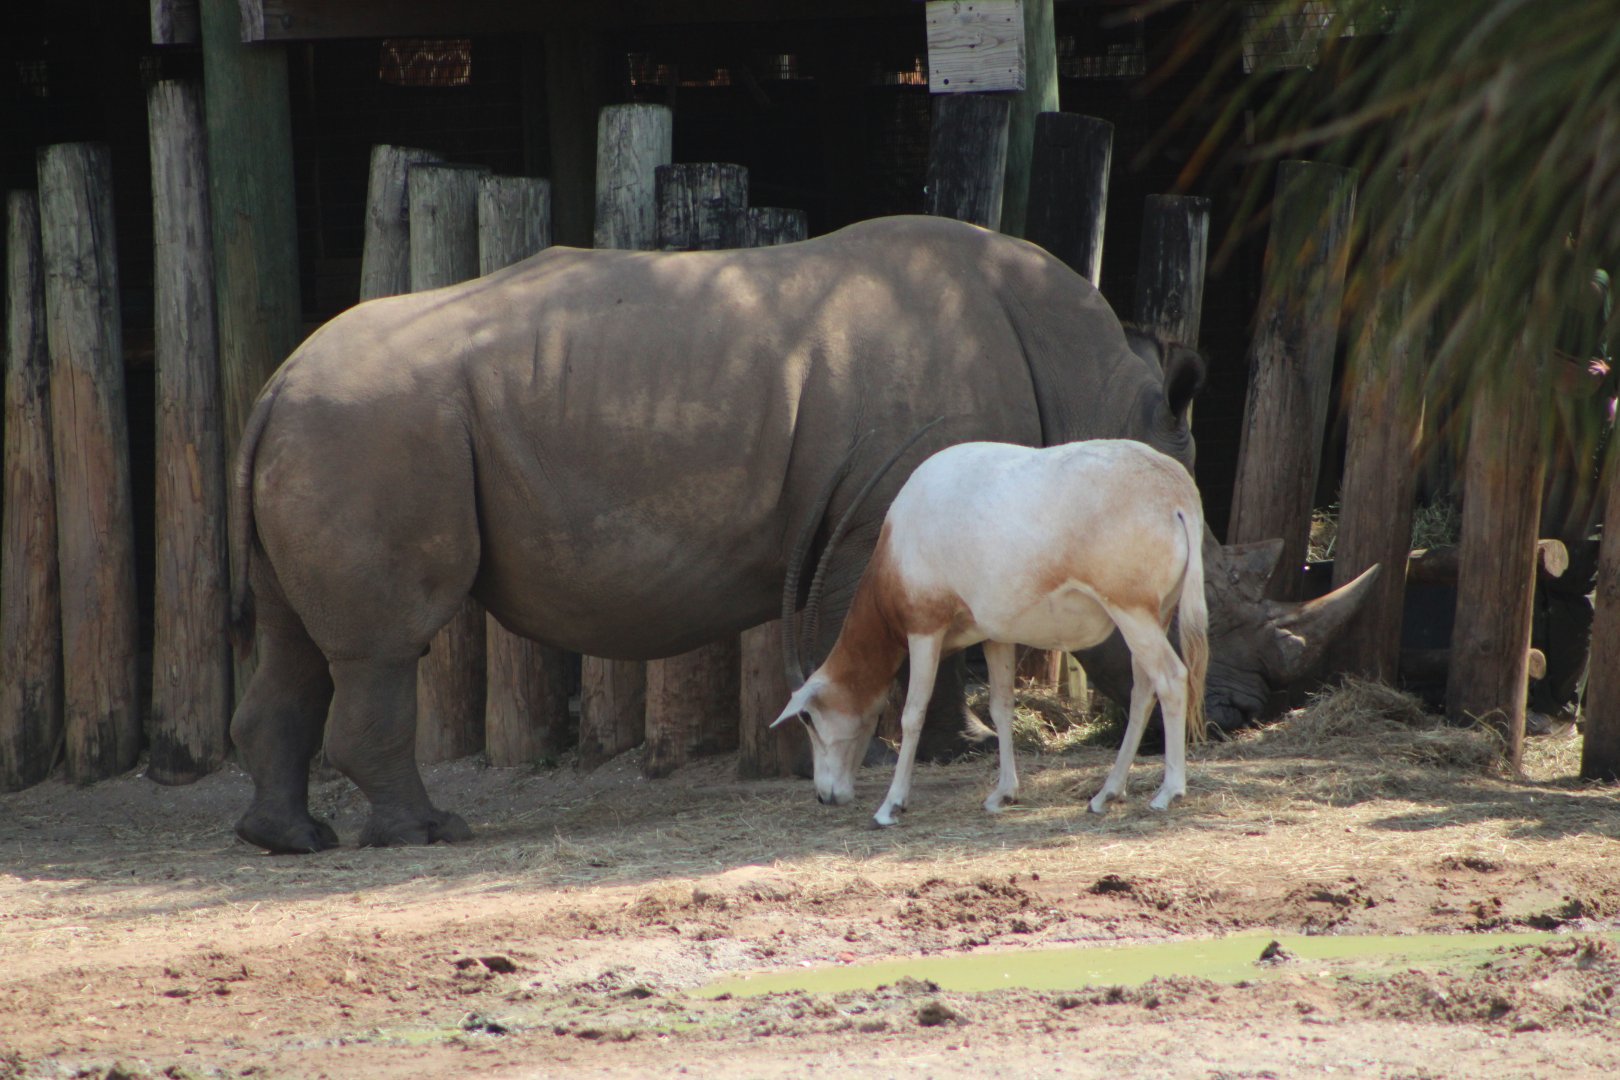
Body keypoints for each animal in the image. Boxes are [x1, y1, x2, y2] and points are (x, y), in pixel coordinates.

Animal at [228, 214, 1373, 853]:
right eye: (1210, 586)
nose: (1245, 714)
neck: (1087, 390)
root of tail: (272, 385)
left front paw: (953, 754)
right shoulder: (871, 516)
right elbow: (886, 649)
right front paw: (927, 755)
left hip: (327, 430)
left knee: (292, 644)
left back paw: (293, 843)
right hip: (371, 430)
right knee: (382, 647)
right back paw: (425, 834)